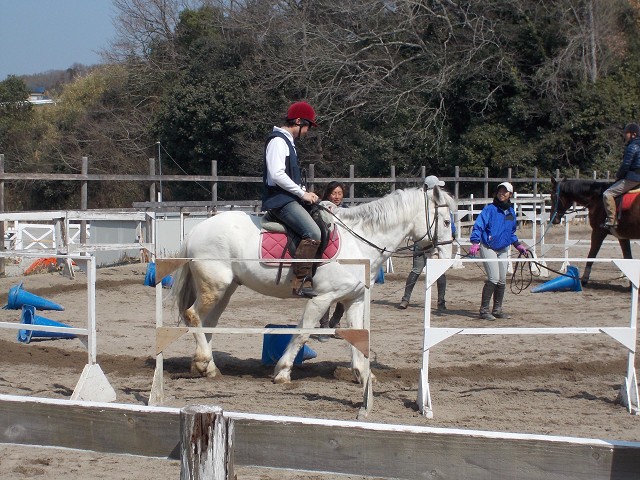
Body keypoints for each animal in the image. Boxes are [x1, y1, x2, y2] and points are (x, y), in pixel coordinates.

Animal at [171, 186, 456, 384]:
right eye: (445, 222)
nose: (446, 257)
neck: (359, 242)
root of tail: (196, 230)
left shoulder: (354, 299)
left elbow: (357, 334)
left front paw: (363, 374)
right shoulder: (322, 298)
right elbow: (302, 333)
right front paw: (283, 372)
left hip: (226, 289)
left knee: (208, 322)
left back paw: (208, 366)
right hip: (214, 287)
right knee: (193, 315)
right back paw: (204, 361)